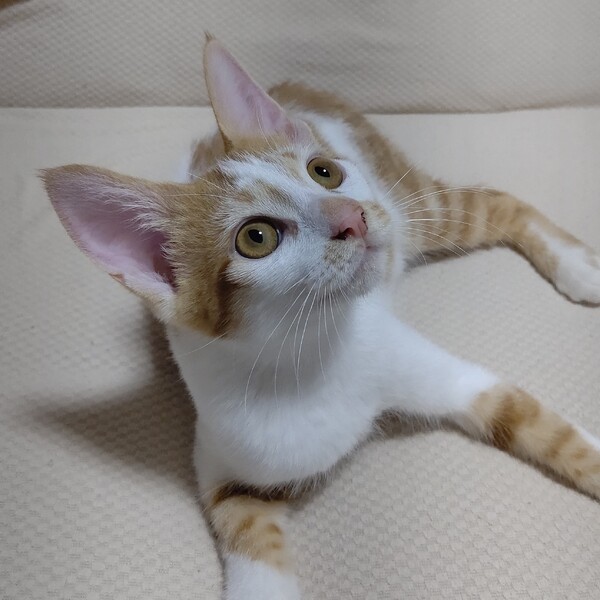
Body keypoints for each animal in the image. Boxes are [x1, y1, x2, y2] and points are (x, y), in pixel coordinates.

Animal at [42, 38, 600, 600]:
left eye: (323, 172)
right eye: (256, 237)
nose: (352, 216)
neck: (311, 355)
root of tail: (293, 89)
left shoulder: (444, 374)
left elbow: (542, 426)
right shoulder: (226, 466)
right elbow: (252, 555)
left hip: (410, 206)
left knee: (497, 202)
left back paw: (577, 269)